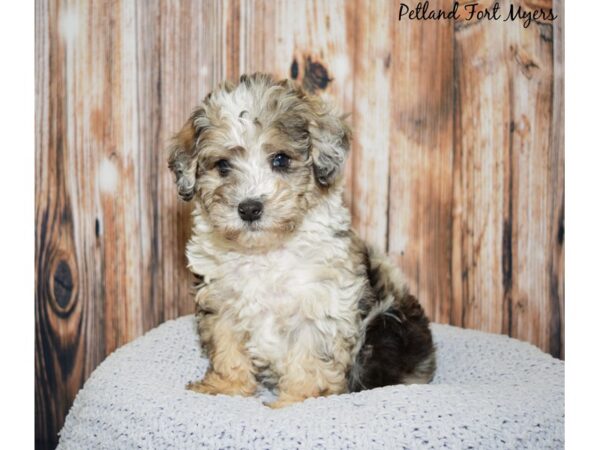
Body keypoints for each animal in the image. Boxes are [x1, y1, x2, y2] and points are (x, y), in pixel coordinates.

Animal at [166, 74, 434, 408]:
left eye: (280, 159)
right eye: (223, 166)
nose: (249, 208)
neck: (264, 252)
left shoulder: (320, 305)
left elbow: (310, 359)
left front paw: (299, 400)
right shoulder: (221, 302)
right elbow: (227, 347)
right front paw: (225, 387)